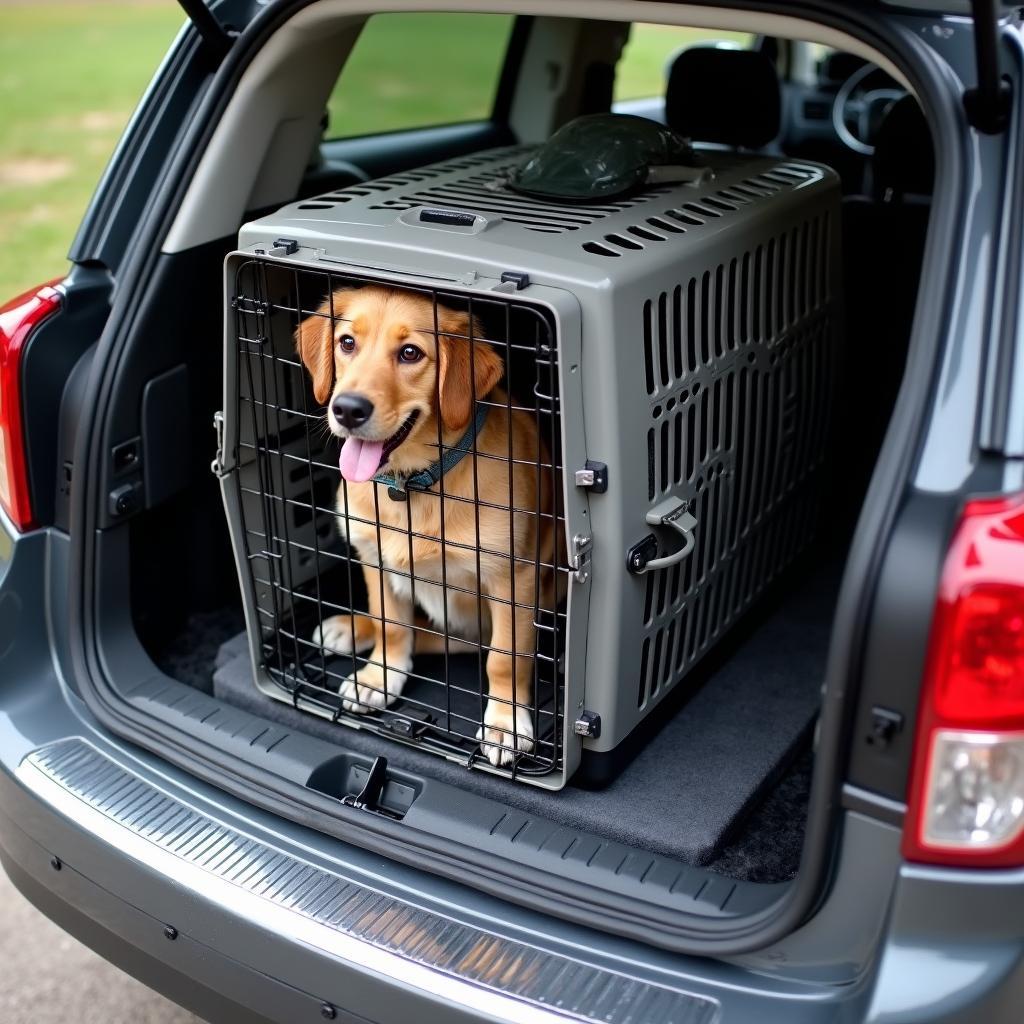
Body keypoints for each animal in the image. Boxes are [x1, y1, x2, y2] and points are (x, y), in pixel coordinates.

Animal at [292, 284, 561, 765]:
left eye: (410, 353)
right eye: (347, 343)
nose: (347, 410)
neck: (412, 484)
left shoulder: (513, 578)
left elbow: (505, 657)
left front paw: (505, 723)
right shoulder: (373, 555)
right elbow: (392, 625)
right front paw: (380, 677)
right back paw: (350, 628)